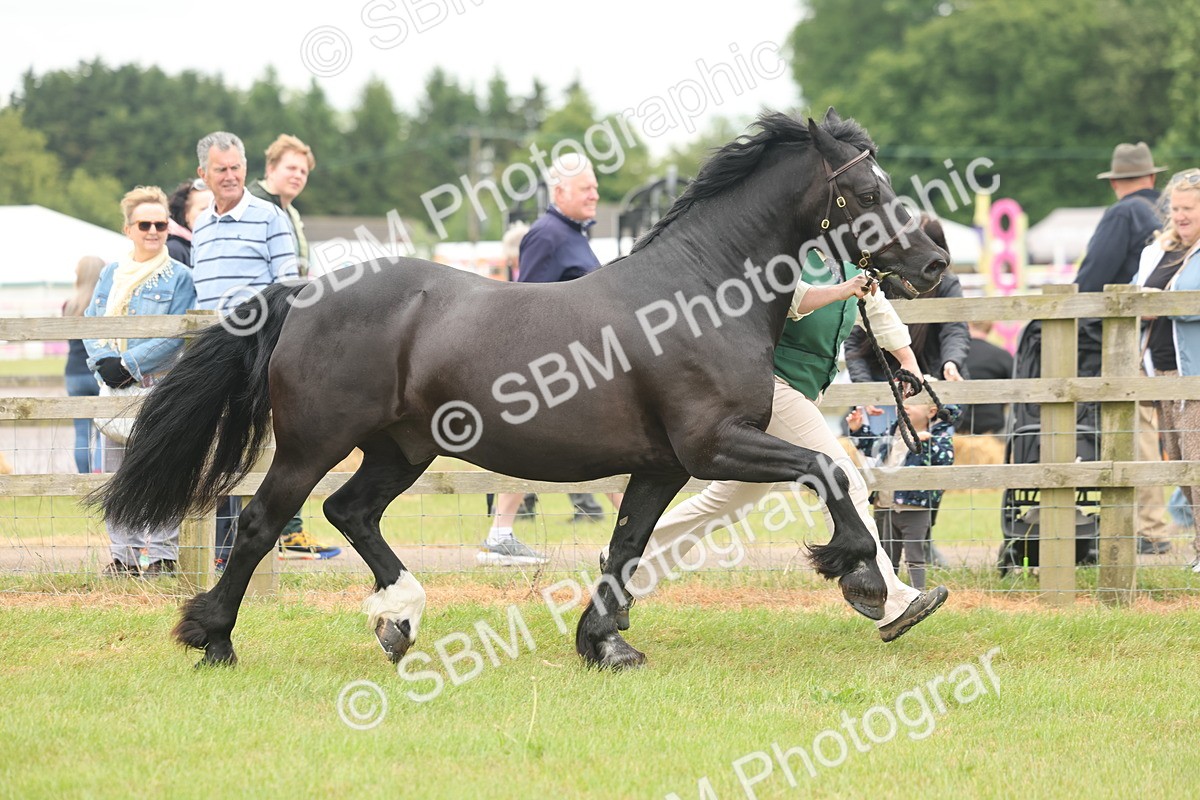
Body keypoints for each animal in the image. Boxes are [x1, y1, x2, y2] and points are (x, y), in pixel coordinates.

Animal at [92, 108, 948, 670]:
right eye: (868, 191)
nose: (936, 261)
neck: (699, 294)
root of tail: (303, 293)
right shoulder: (714, 445)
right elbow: (828, 470)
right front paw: (859, 575)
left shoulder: (663, 465)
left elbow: (627, 544)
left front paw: (604, 643)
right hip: (313, 444)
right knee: (266, 521)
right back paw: (214, 637)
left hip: (401, 449)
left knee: (351, 512)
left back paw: (399, 619)